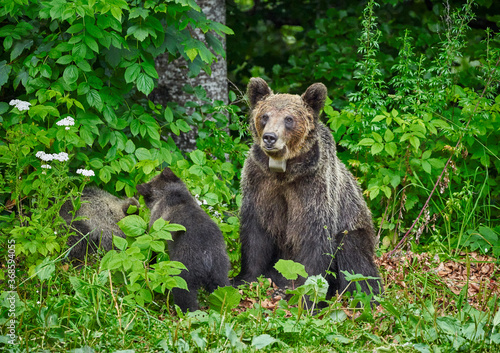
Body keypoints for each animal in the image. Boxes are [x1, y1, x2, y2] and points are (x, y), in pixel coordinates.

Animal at [235, 77, 382, 300]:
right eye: (265, 116)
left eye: (289, 119)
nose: (269, 137)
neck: (284, 172)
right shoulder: (259, 182)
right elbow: (255, 233)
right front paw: (245, 279)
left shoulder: (312, 187)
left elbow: (315, 238)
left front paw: (307, 294)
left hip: (355, 225)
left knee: (356, 260)